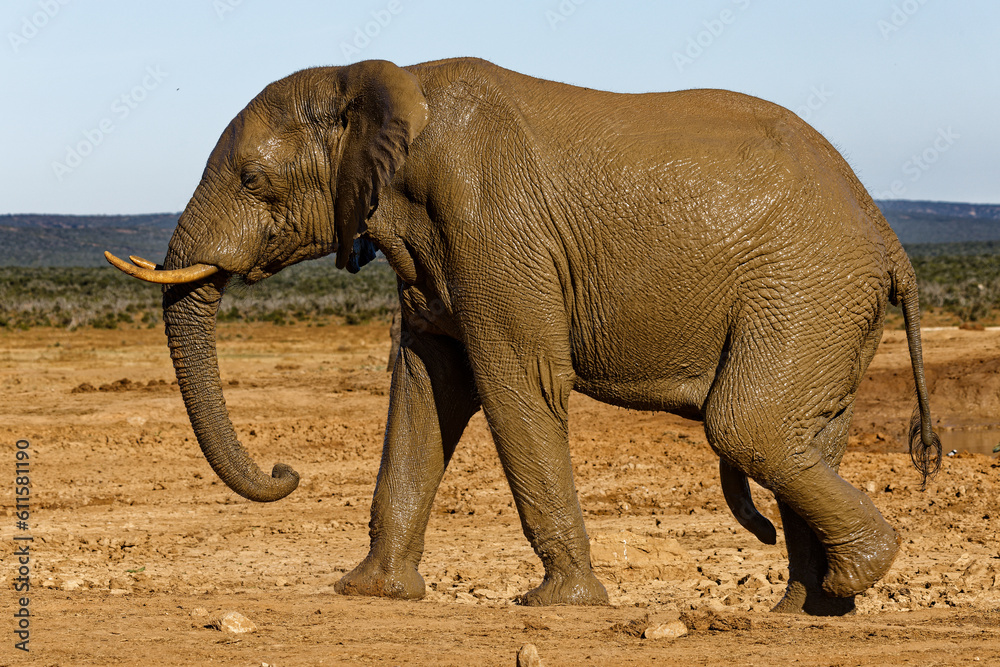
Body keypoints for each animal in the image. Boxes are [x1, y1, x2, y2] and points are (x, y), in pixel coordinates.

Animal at [105, 57, 941, 615]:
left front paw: (560, 603)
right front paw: (369, 592)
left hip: (807, 285)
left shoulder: (492, 224)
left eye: (252, 180)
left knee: (748, 424)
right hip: (824, 301)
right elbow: (424, 390)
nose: (286, 470)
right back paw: (809, 610)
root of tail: (887, 236)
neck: (379, 80)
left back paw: (855, 575)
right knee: (802, 435)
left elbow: (516, 382)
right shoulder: (432, 252)